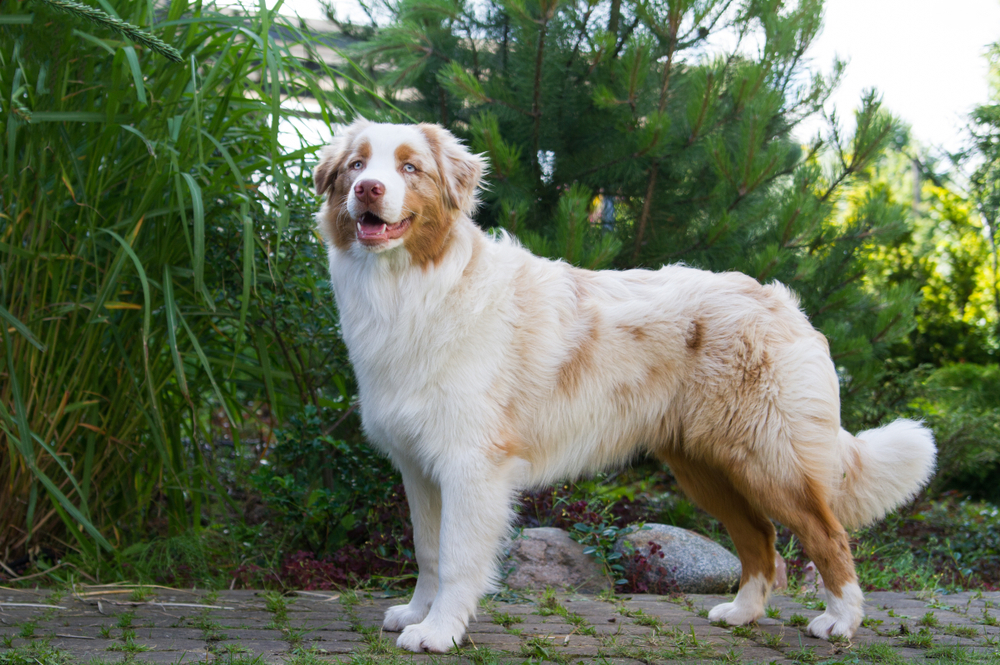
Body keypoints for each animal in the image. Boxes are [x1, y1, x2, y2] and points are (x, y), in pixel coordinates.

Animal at [316, 120, 940, 652]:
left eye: (411, 167)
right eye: (356, 165)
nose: (369, 189)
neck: (415, 287)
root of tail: (783, 302)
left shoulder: (471, 464)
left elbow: (457, 556)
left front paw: (439, 631)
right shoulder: (419, 464)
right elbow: (427, 549)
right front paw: (417, 613)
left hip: (768, 457)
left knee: (826, 534)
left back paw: (840, 622)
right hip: (706, 465)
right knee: (760, 538)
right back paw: (742, 613)